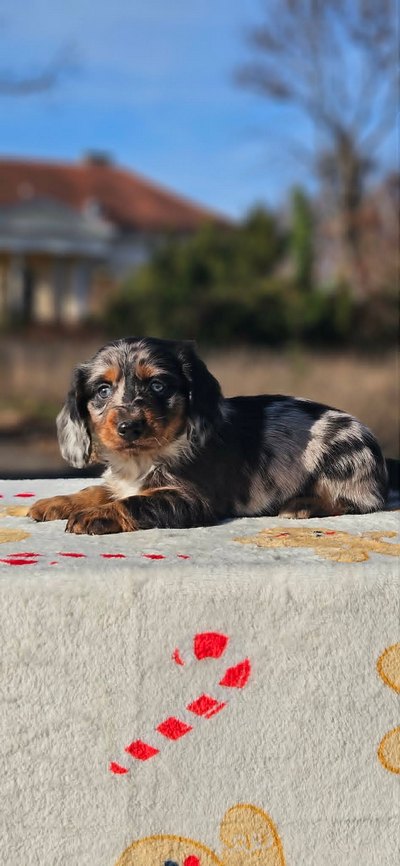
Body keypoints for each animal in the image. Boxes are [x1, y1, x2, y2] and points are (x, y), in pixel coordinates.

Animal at [29, 337, 389, 534]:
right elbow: (97, 490)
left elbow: (137, 502)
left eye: (157, 385)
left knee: (361, 501)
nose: (130, 427)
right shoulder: (122, 481)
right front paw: (58, 502)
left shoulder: (190, 499)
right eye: (103, 390)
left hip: (343, 457)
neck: (144, 458)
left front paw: (98, 515)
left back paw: (303, 504)